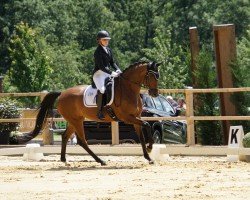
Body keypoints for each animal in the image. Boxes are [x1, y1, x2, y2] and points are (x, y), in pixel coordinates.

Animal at [24, 61, 160, 164]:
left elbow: (142, 137)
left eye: (158, 76)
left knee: (65, 136)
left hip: (74, 120)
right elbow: (147, 125)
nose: (155, 93)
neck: (128, 89)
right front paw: (150, 147)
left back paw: (63, 159)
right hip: (77, 121)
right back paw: (100, 160)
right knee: (82, 141)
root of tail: (62, 93)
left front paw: (148, 156)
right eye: (151, 76)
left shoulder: (136, 117)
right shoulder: (126, 117)